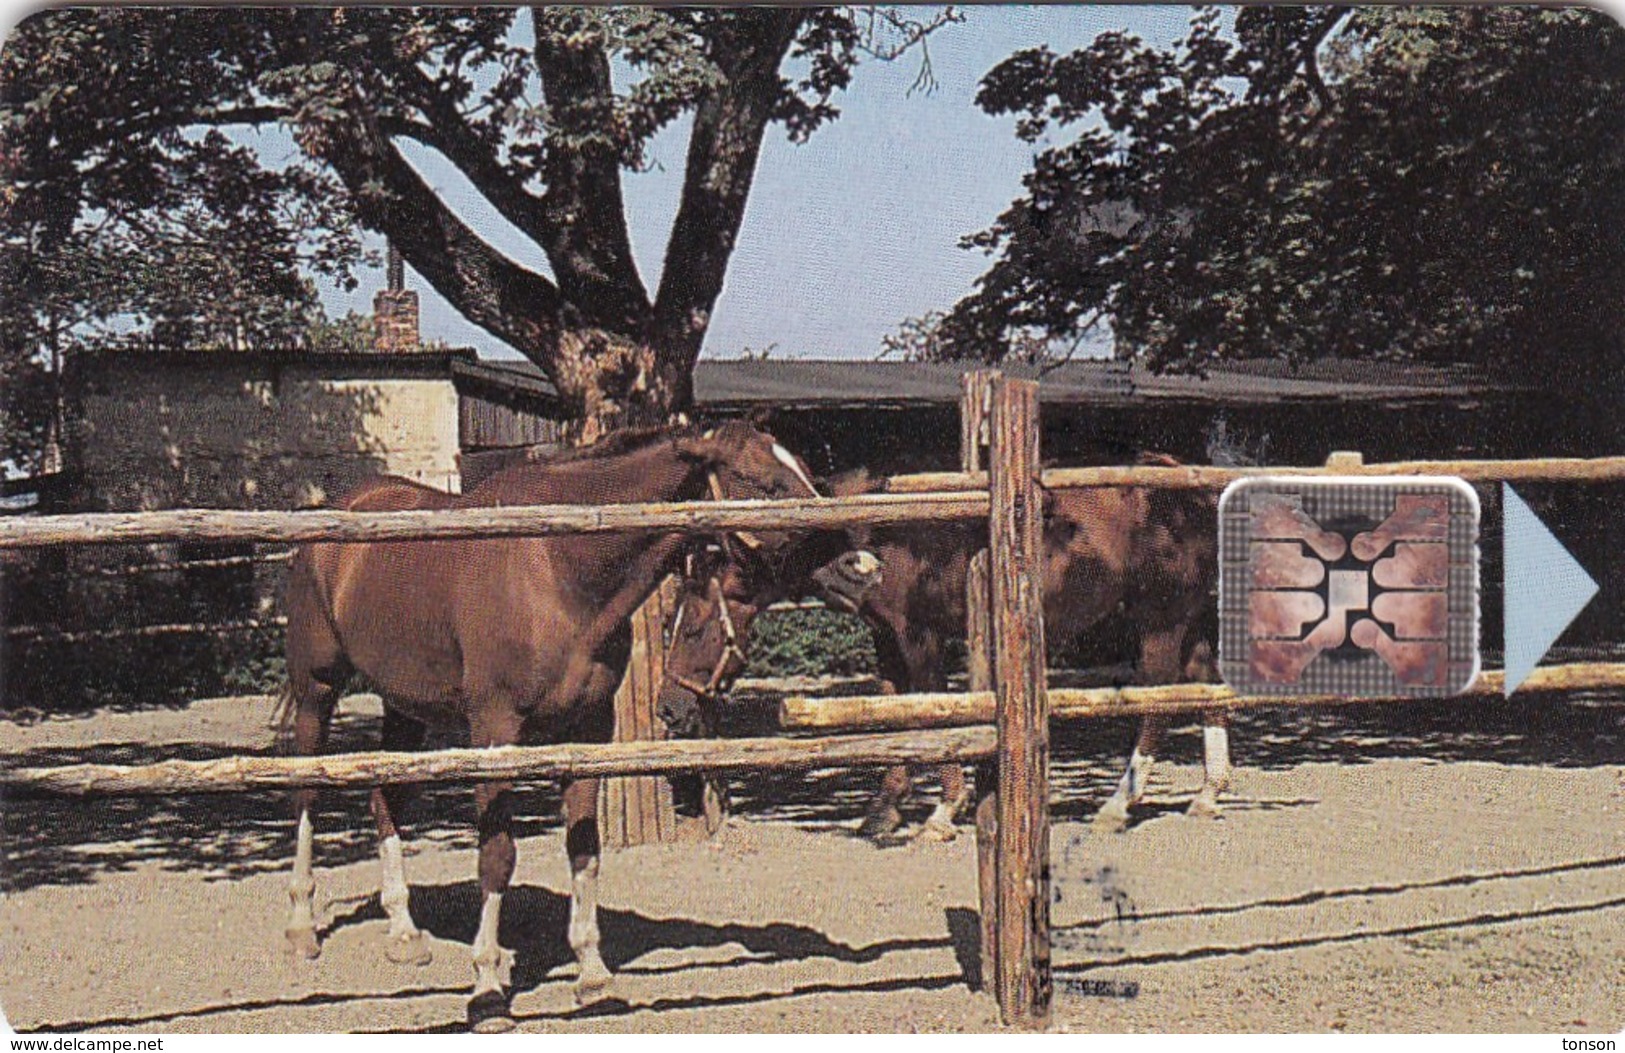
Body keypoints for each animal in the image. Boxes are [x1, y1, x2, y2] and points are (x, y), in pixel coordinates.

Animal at [276, 419, 825, 1027]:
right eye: (762, 480)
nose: (836, 537)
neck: (559, 565)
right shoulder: (495, 732)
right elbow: (496, 858)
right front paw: (487, 986)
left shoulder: (588, 731)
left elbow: (584, 847)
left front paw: (592, 973)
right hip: (317, 690)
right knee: (305, 794)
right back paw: (301, 927)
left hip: (405, 708)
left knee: (383, 800)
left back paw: (403, 931)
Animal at [653, 455, 1222, 845]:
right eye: (671, 620)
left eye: (695, 629)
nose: (669, 709)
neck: (879, 534)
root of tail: (1190, 496)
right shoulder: (885, 639)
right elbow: (898, 713)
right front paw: (885, 808)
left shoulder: (919, 635)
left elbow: (929, 708)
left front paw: (943, 811)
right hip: (1188, 619)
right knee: (1207, 684)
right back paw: (1208, 793)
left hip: (1161, 621)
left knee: (1158, 702)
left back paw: (1118, 803)